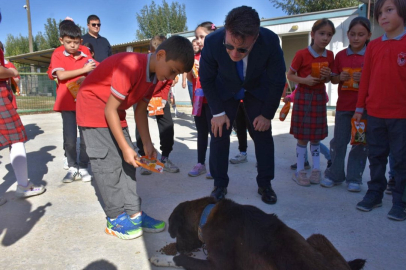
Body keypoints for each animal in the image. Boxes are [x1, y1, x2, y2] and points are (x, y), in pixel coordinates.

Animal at [168, 196, 364, 270]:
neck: (206, 214)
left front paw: (177, 259)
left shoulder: (219, 266)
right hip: (316, 237)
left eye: (176, 233)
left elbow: (188, 261)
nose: (176, 248)